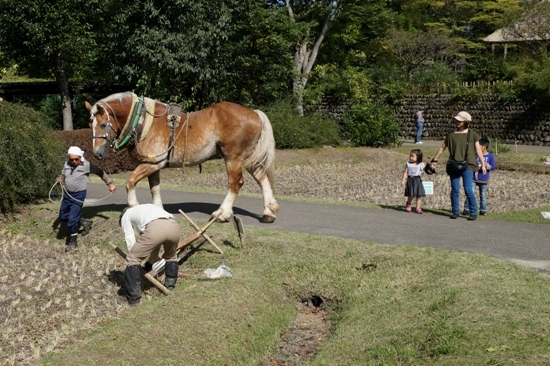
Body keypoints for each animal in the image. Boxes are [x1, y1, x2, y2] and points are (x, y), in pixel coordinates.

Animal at [86, 91, 280, 223]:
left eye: (103, 124)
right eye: (90, 125)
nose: (97, 153)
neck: (142, 121)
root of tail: (254, 113)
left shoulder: (151, 163)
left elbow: (130, 181)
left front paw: (133, 205)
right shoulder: (153, 166)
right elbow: (154, 188)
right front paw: (158, 211)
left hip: (233, 158)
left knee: (236, 183)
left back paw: (222, 213)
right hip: (248, 158)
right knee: (262, 179)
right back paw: (268, 212)